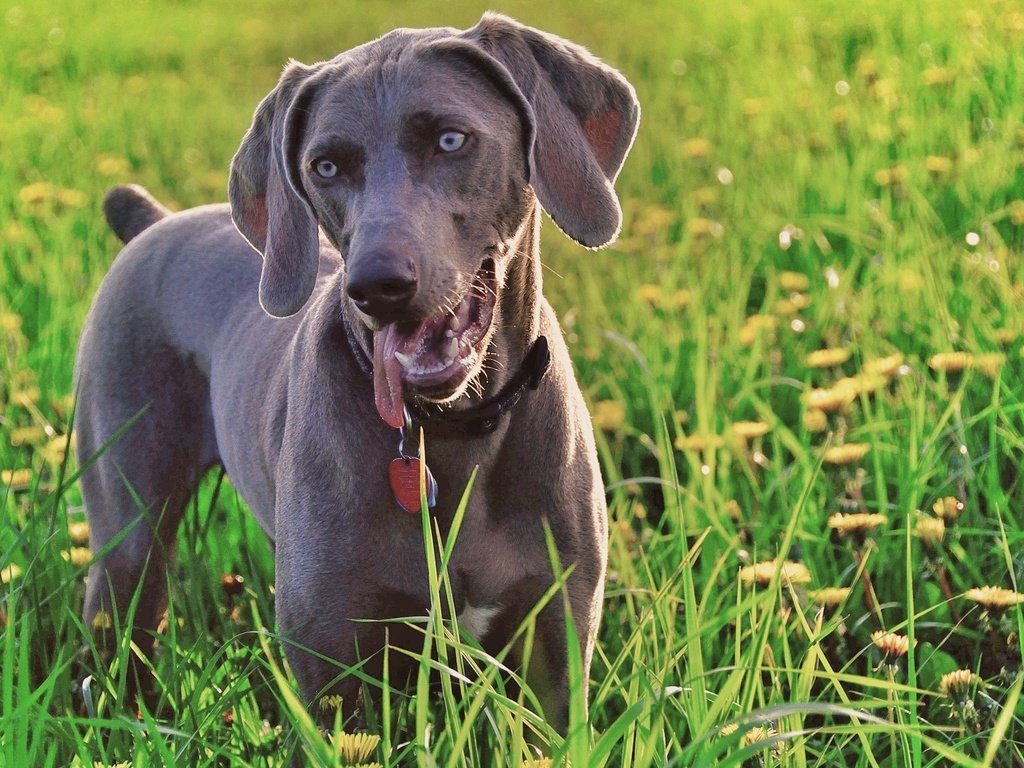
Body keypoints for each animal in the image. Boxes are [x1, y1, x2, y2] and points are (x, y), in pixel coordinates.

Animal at [77, 13, 638, 733]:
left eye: (451, 139)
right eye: (325, 166)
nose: (377, 286)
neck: (452, 432)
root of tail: (155, 223)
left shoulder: (555, 658)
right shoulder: (336, 674)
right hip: (128, 536)